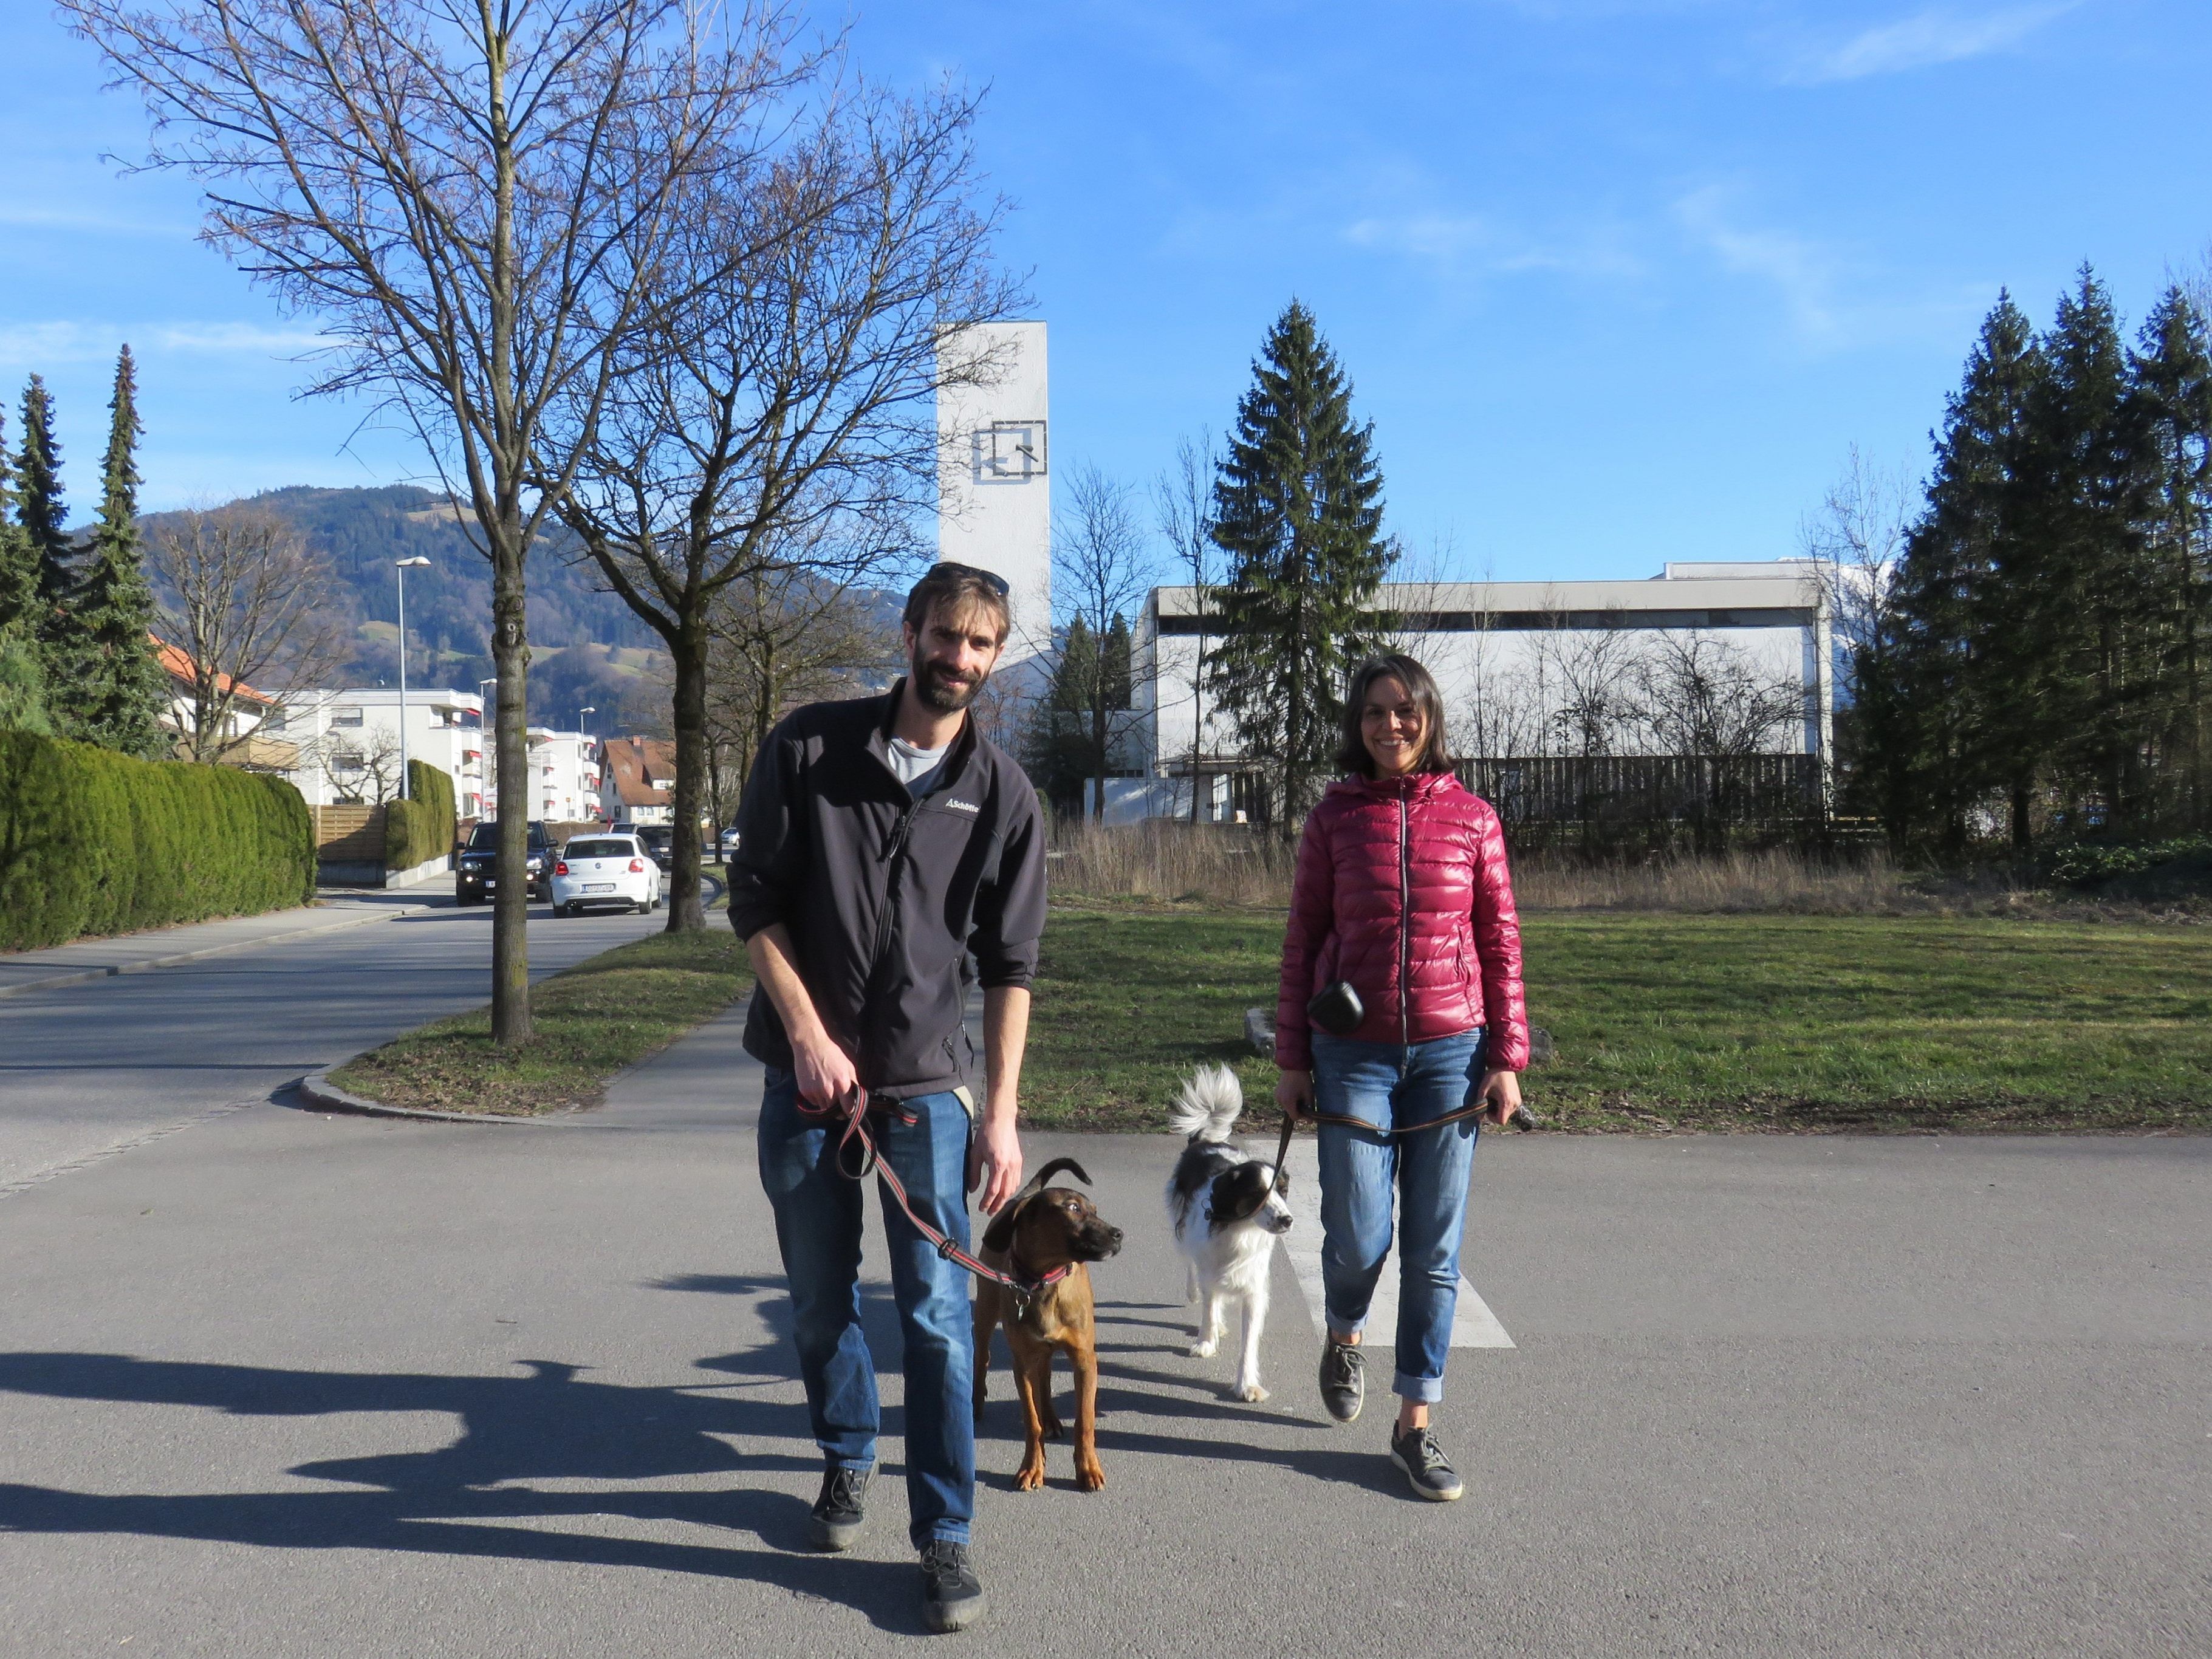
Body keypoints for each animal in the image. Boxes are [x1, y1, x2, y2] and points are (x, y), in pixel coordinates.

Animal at [973, 1159, 1123, 1495]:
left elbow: (1085, 1420)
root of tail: (1022, 1196)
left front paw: (1088, 1469)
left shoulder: (1084, 1360)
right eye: (1073, 1208)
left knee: (1046, 1376)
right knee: (982, 1358)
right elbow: (1032, 1421)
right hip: (986, 1313)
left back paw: (1053, 1420)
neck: (1043, 1281)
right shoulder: (1022, 1363)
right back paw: (976, 1405)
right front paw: (1032, 1467)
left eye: (1094, 1210)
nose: (1119, 1234)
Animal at [1159, 1066, 1292, 1406]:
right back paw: (1197, 1298)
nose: (1287, 1220)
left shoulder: (1254, 1289)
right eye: (1257, 1194)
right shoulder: (1209, 1262)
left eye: (1283, 1191)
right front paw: (1206, 1341)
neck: (1240, 1229)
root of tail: (1204, 1141)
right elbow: (1208, 1302)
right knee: (1192, 1266)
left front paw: (1247, 1384)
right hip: (1183, 1228)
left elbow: (1249, 1341)